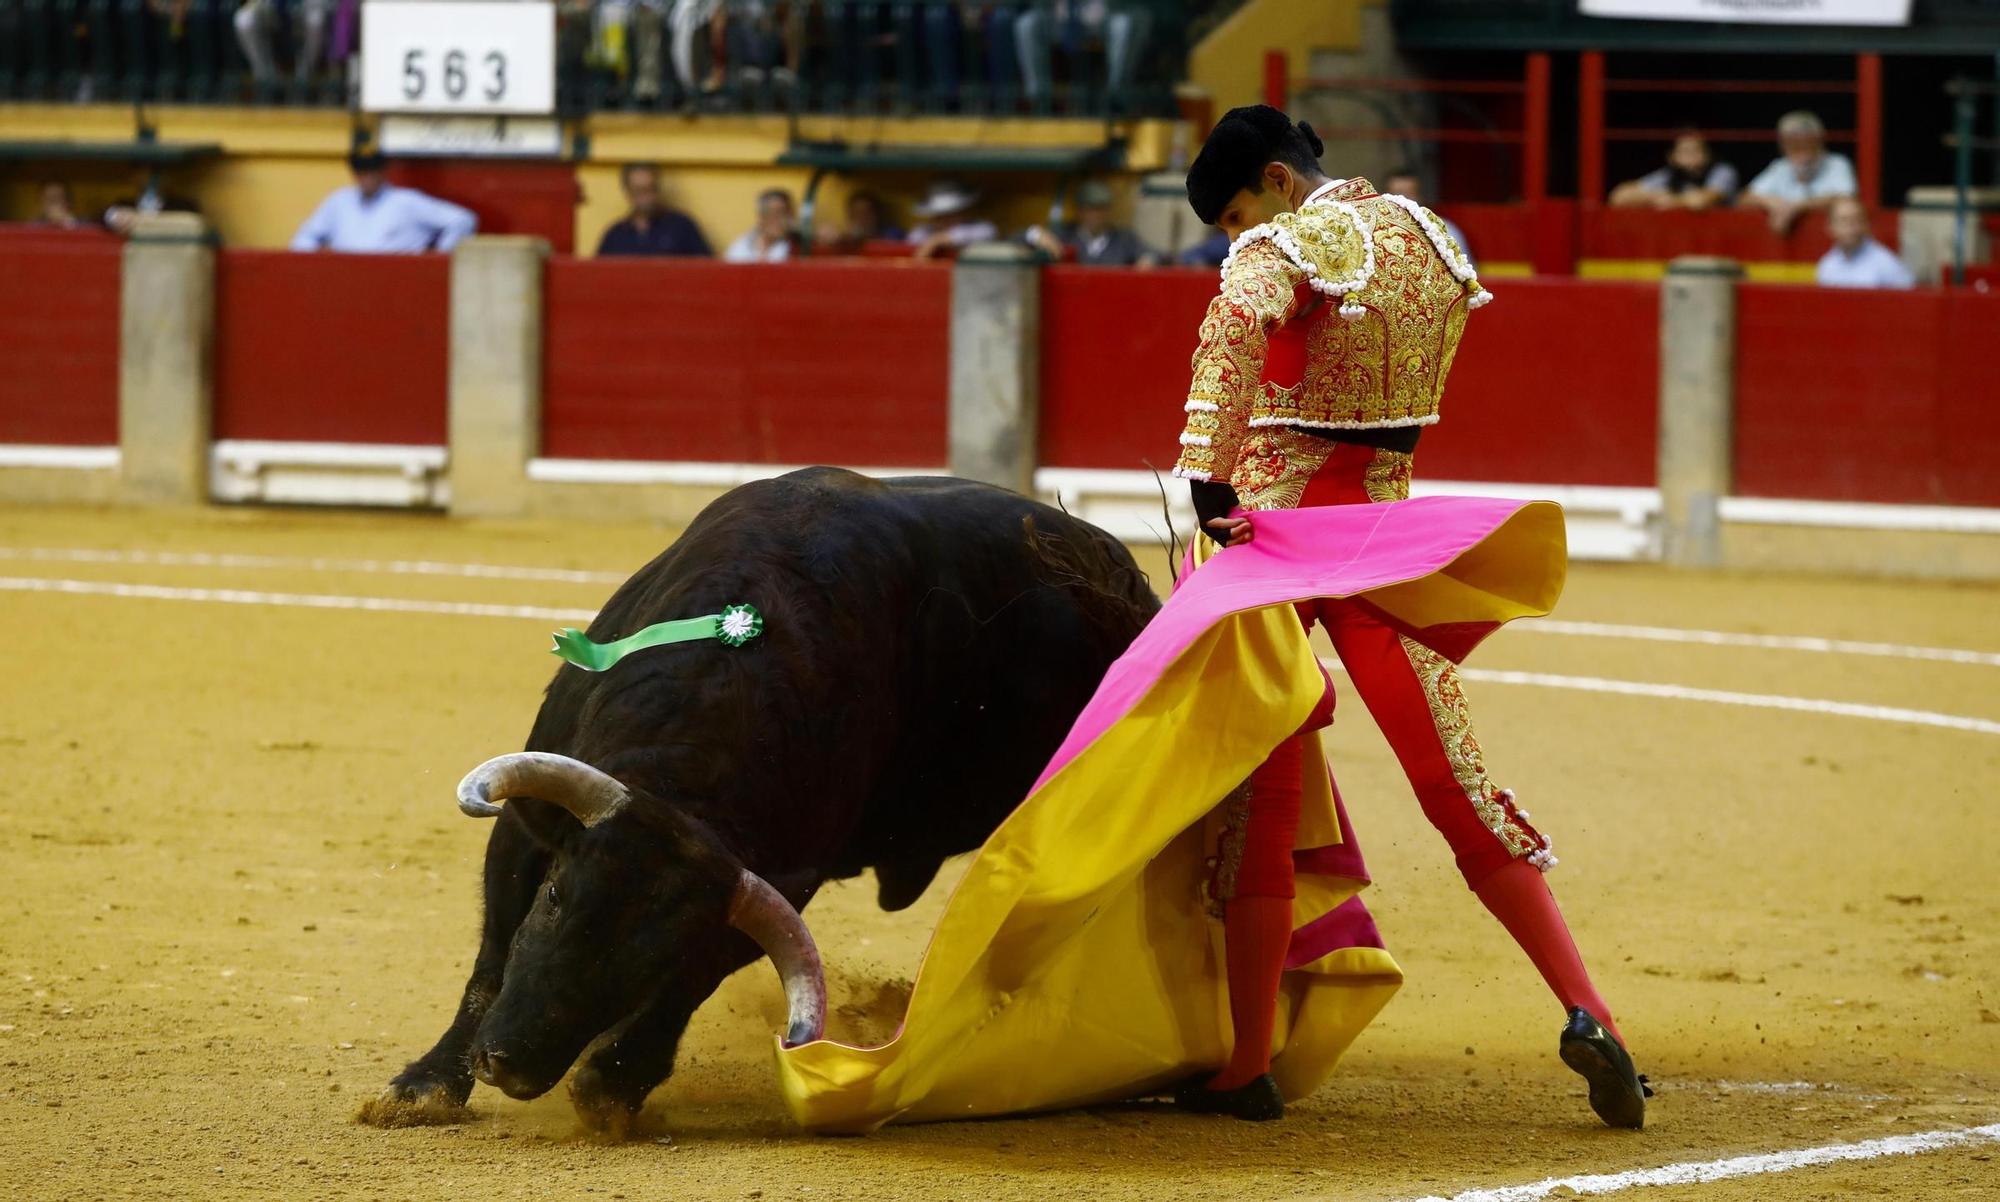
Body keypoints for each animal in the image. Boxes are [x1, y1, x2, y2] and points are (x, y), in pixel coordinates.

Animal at [368, 468, 1168, 1136]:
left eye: (657, 954)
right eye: (559, 897)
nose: (511, 1063)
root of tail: (1121, 574)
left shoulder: (770, 887)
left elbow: (690, 984)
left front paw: (611, 1088)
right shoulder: (527, 830)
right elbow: (494, 953)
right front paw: (427, 1086)